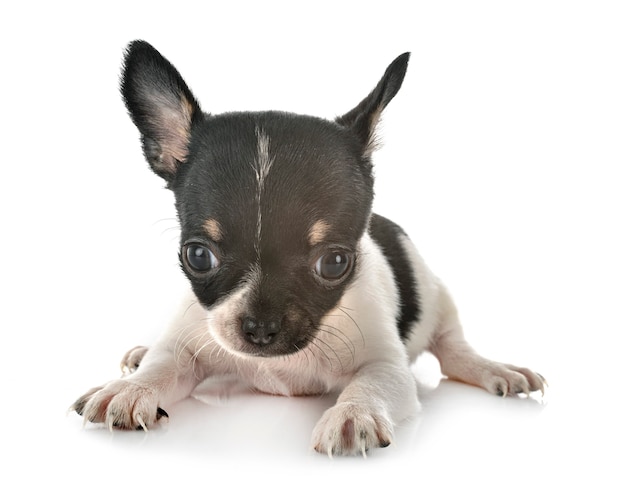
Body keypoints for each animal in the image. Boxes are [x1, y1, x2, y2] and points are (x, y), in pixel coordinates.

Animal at [70, 40, 544, 458]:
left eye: (335, 262)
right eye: (198, 256)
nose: (260, 328)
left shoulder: (386, 366)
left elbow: (369, 384)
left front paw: (353, 414)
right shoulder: (187, 346)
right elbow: (164, 364)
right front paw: (129, 389)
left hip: (438, 299)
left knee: (453, 351)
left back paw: (496, 369)